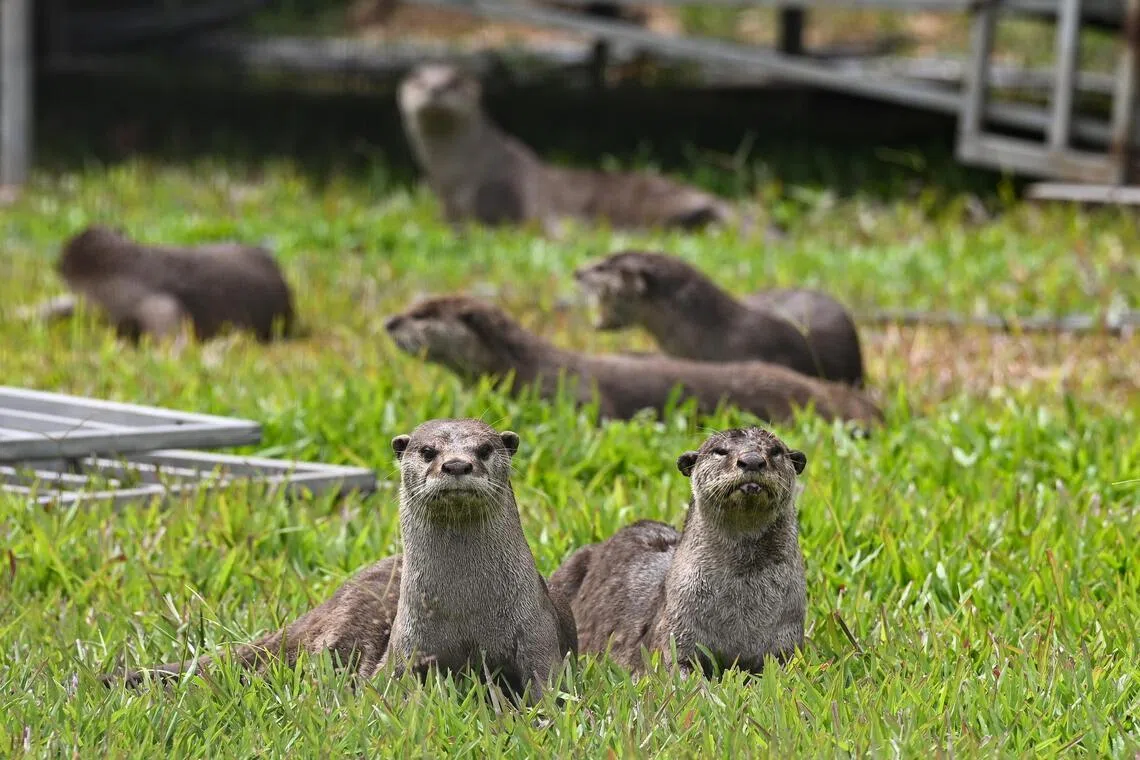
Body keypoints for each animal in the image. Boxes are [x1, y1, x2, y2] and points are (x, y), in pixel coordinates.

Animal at [106, 419, 577, 703]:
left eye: (484, 449)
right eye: (427, 451)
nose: (457, 464)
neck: (469, 610)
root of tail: (325, 605)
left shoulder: (536, 634)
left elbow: (548, 686)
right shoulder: (406, 649)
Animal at [397, 63, 746, 233]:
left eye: (454, 82)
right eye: (418, 81)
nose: (436, 88)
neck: (458, 175)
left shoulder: (500, 193)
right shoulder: (446, 203)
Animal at [549, 426, 807, 675]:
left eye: (775, 451)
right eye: (720, 451)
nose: (752, 460)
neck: (742, 611)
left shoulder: (786, 639)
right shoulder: (675, 633)